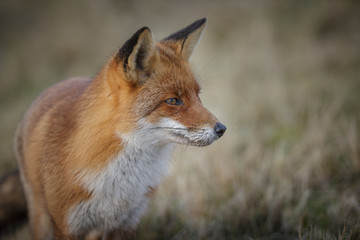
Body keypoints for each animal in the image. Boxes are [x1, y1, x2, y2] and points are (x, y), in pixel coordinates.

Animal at [12, 17, 226, 239]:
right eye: (173, 100)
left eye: (197, 95)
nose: (221, 129)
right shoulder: (68, 225)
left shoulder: (126, 223)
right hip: (41, 217)